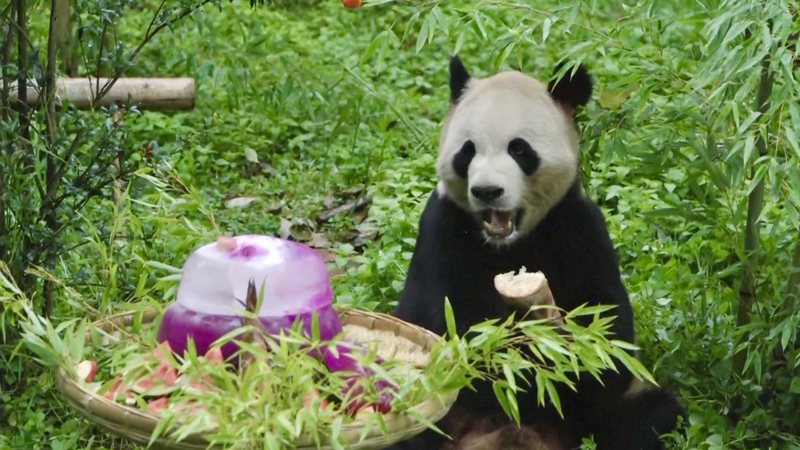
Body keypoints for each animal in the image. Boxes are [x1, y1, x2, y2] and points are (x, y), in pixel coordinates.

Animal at [386, 55, 686, 450]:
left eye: (519, 149)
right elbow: (453, 325)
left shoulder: (577, 225)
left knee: (650, 415)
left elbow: (609, 333)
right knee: (411, 421)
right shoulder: (442, 229)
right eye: (468, 151)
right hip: (434, 411)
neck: (509, 243)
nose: (487, 191)